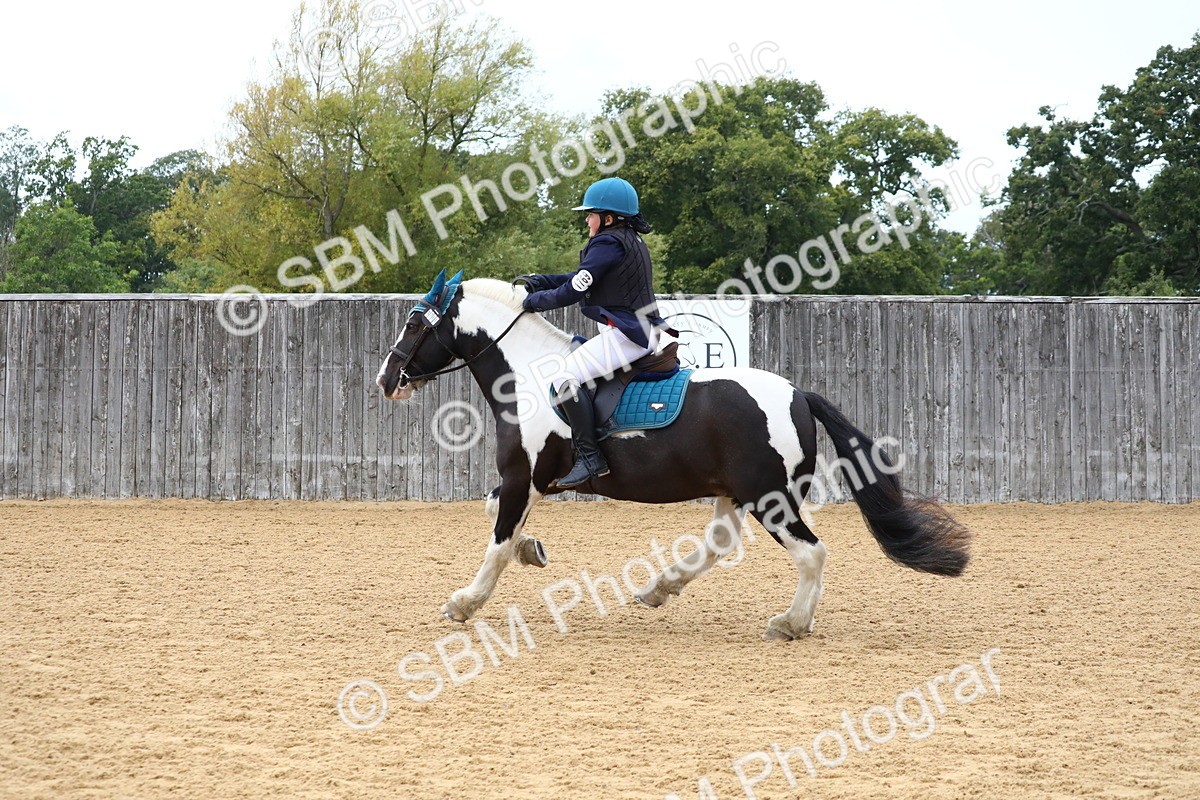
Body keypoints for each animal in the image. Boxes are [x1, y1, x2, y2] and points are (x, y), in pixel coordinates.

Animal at [375, 273, 971, 641]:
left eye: (414, 323)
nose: (386, 378)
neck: (529, 375)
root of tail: (799, 394)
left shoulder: (525, 476)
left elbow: (496, 543)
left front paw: (465, 601)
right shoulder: (527, 481)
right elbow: (496, 518)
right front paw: (533, 550)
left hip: (770, 498)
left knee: (812, 554)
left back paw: (790, 623)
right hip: (735, 492)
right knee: (721, 544)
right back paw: (660, 589)